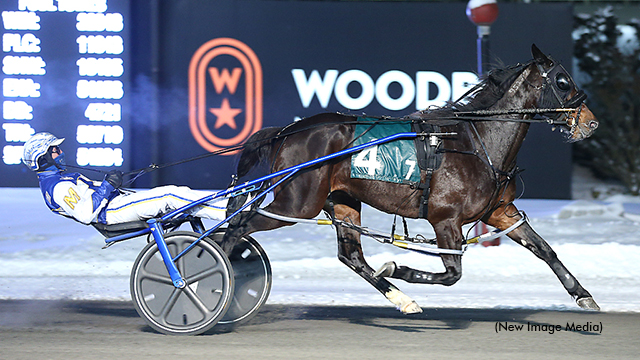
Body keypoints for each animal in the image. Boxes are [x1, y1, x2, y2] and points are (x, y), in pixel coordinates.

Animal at [221, 45, 600, 312]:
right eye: (562, 81)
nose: (591, 122)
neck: (476, 142)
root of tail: (287, 131)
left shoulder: (500, 212)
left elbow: (545, 249)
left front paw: (583, 295)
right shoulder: (444, 219)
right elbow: (452, 274)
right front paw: (395, 267)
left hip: (342, 200)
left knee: (350, 256)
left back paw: (403, 299)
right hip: (297, 203)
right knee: (238, 226)